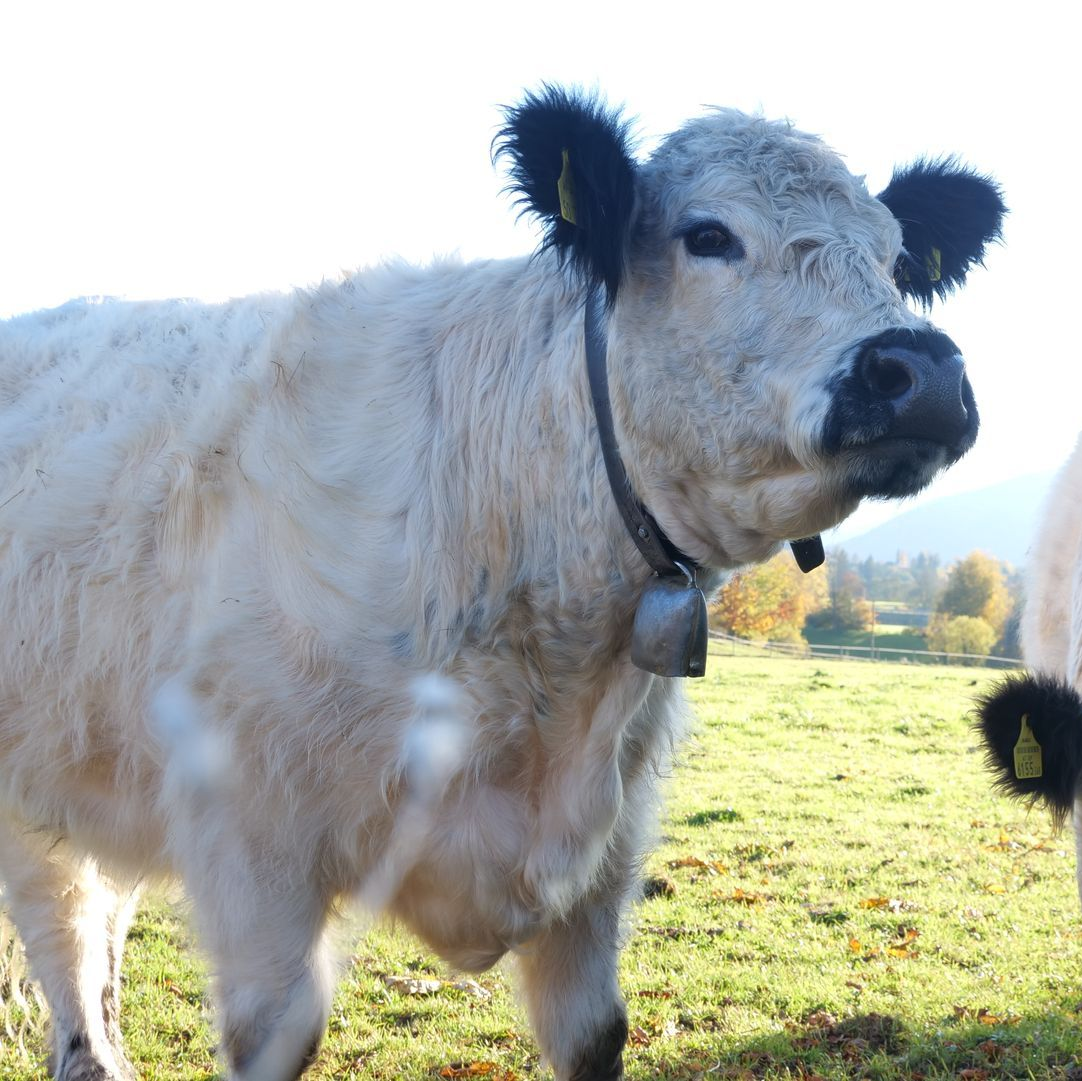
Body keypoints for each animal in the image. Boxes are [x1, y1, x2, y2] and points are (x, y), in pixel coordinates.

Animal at [0, 86, 1003, 1081]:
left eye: (895, 257)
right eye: (708, 234)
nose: (923, 372)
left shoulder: (604, 850)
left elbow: (595, 1030)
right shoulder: (256, 840)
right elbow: (274, 1032)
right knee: (66, 931)